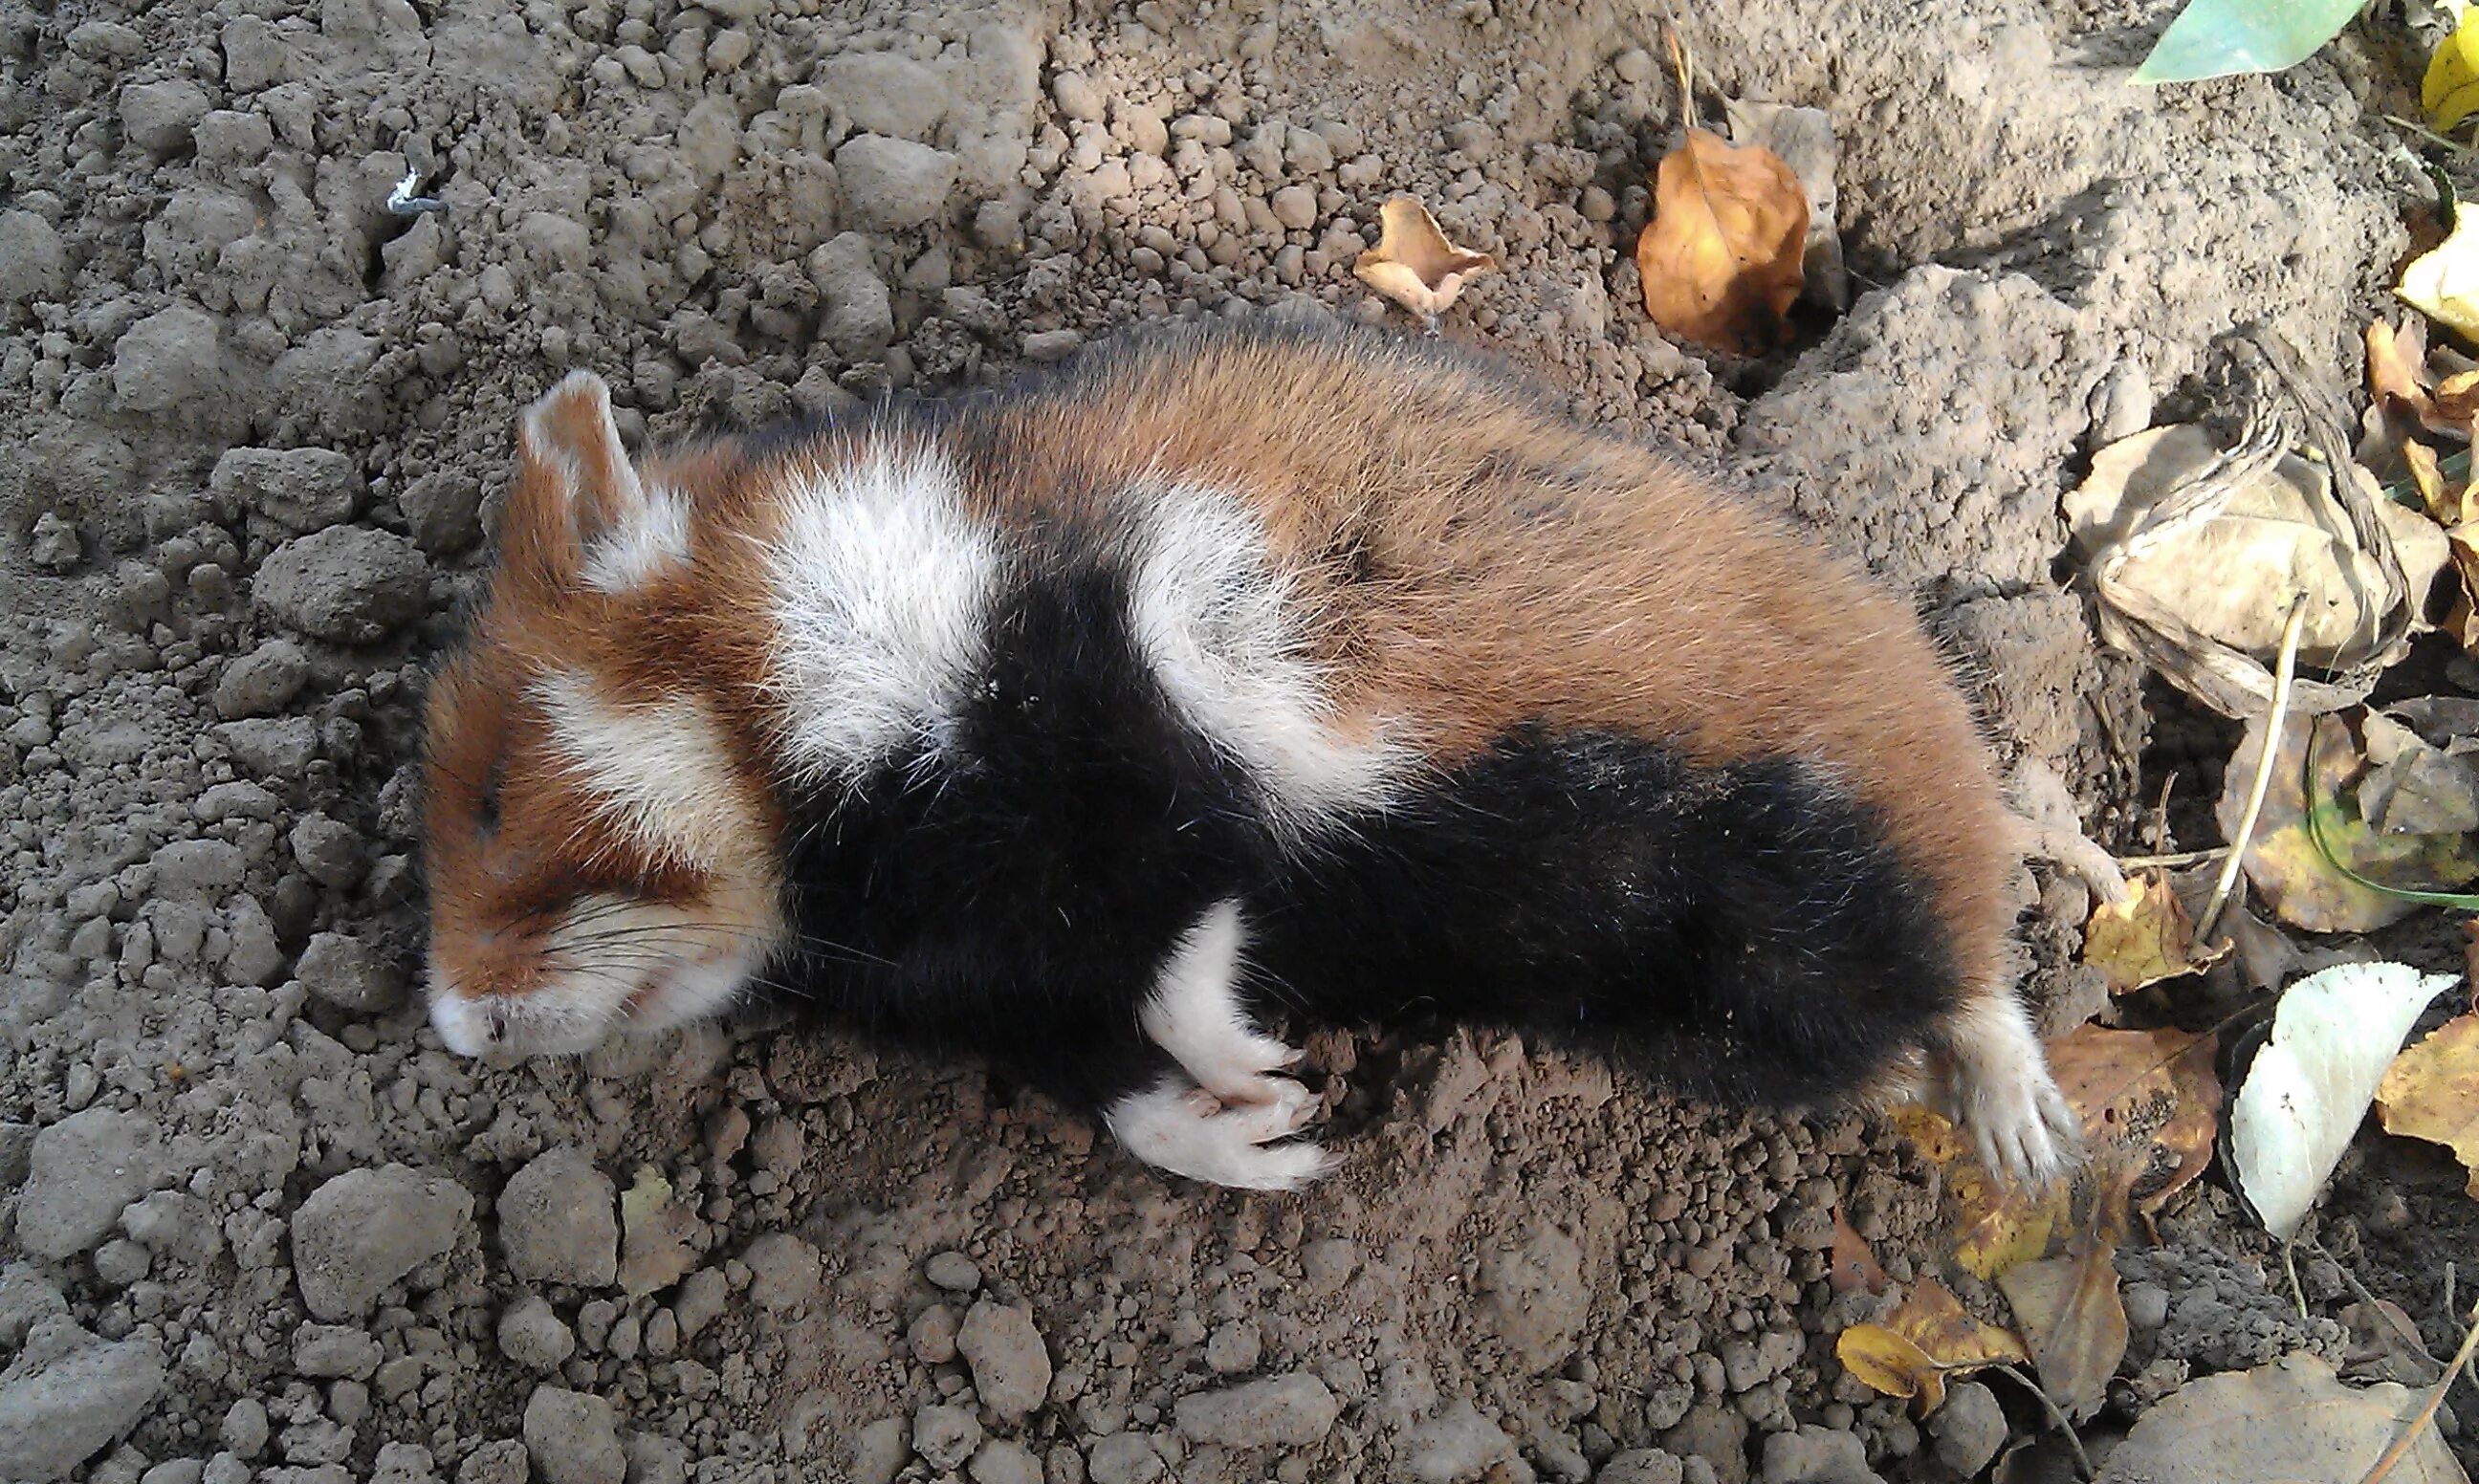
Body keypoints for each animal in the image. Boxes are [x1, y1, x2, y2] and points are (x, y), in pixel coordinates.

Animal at [421, 321, 2072, 1193]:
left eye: (497, 796)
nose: (452, 1032)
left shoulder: (1139, 722)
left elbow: (1194, 925)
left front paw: (1267, 1068)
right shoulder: (1003, 978)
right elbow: (1123, 1083)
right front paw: (1281, 1135)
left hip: (1808, 886)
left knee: (1970, 976)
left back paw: (2031, 1145)